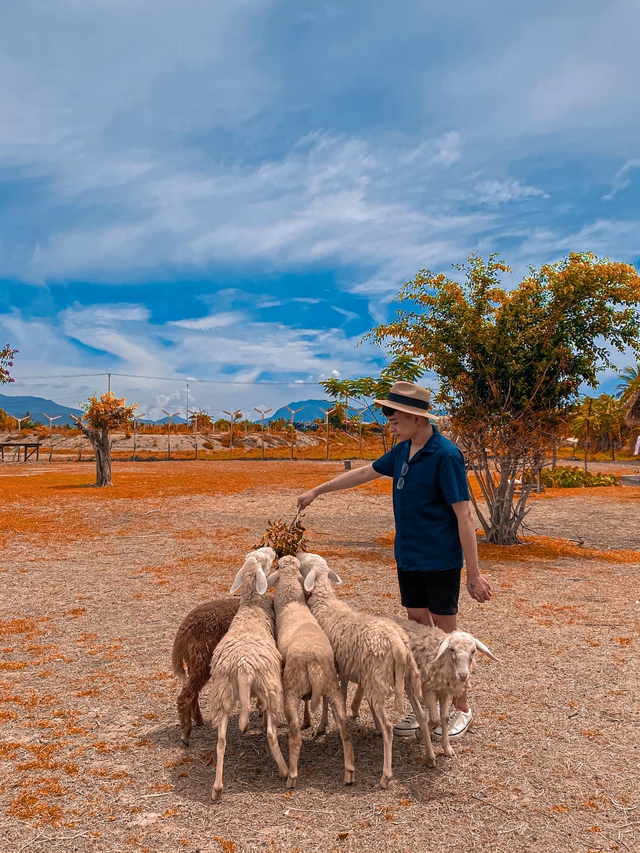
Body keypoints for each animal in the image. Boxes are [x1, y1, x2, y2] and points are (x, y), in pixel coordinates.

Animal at [171, 596, 239, 744]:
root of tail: (185, 626)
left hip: (194, 661)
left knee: (192, 692)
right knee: (186, 695)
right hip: (203, 659)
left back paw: (198, 720)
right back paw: (186, 734)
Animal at [208, 544, 288, 800]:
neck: (253, 604)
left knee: (221, 741)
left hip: (222, 694)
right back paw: (284, 770)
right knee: (271, 733)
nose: (273, 549)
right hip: (271, 686)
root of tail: (244, 667)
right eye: (265, 558)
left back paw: (217, 788)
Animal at [266, 556, 356, 788]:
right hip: (332, 687)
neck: (291, 602)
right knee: (345, 729)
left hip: (291, 690)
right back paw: (349, 773)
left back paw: (291, 776)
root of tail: (313, 663)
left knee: (295, 736)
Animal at [298, 552, 432, 784]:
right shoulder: (341, 668)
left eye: (305, 563)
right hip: (409, 679)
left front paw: (322, 725)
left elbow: (325, 701)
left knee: (388, 727)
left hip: (377, 680)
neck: (325, 603)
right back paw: (431, 757)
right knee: (422, 717)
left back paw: (386, 776)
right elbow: (337, 697)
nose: (298, 554)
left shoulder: (330, 667)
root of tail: (398, 644)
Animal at [390, 616, 500, 756]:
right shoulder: (428, 688)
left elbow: (445, 718)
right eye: (451, 649)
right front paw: (419, 732)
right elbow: (435, 719)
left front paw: (447, 748)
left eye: (473, 651)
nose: (463, 675)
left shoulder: (444, 690)